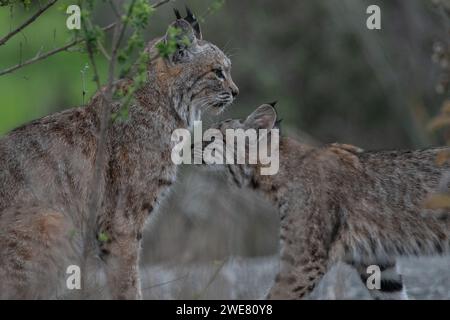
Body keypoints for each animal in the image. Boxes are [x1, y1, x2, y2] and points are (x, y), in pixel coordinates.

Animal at [0, 10, 239, 300]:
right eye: (218, 72)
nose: (236, 92)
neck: (167, 103)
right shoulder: (121, 222)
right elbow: (127, 280)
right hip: (53, 223)